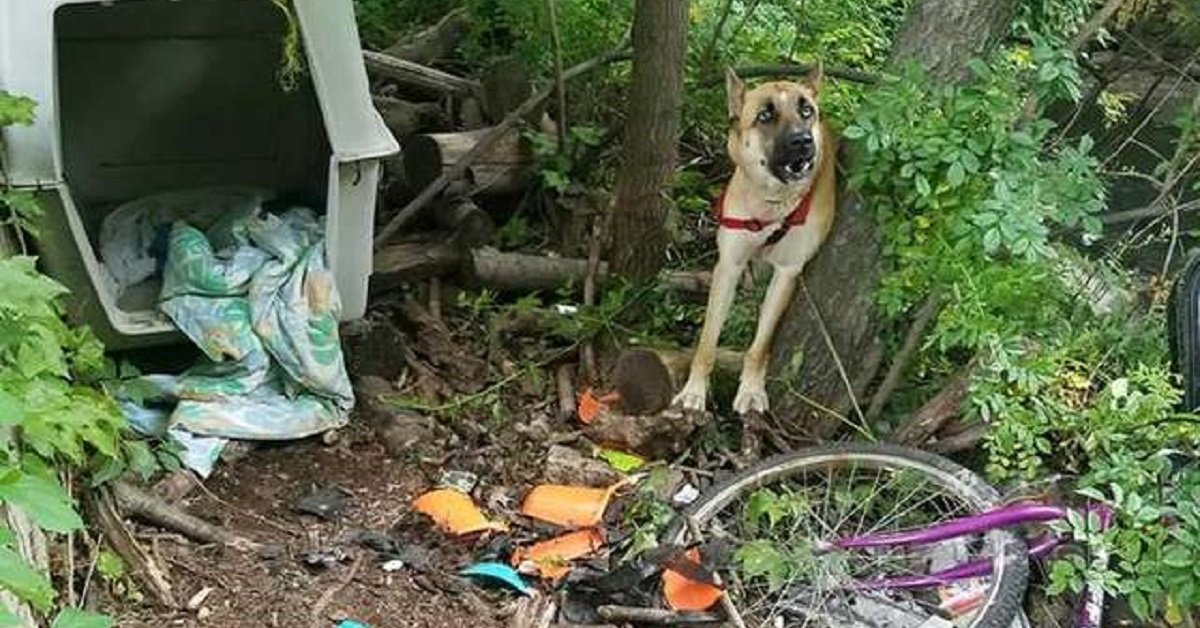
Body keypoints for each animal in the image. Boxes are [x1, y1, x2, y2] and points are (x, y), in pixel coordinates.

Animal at [672, 65, 840, 417]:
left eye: (807, 111)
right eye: (765, 115)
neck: (771, 204)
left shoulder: (787, 272)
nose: (803, 141)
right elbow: (707, 340)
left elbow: (760, 344)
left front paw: (751, 389)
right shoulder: (729, 266)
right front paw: (694, 390)